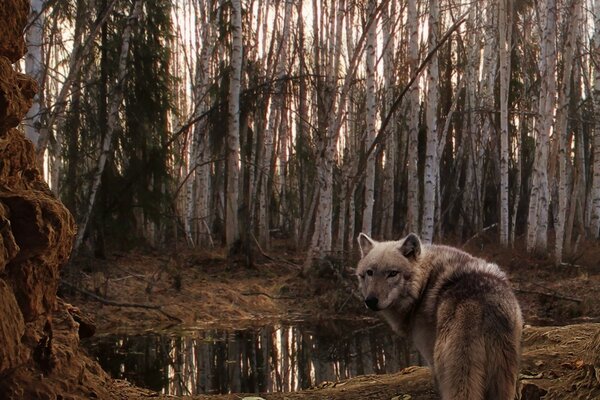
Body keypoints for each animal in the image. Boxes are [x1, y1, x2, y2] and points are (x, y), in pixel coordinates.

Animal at [356, 233, 520, 398]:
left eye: (392, 273)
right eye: (370, 272)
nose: (370, 301)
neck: (424, 285)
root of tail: (480, 302)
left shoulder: (430, 357)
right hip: (503, 378)